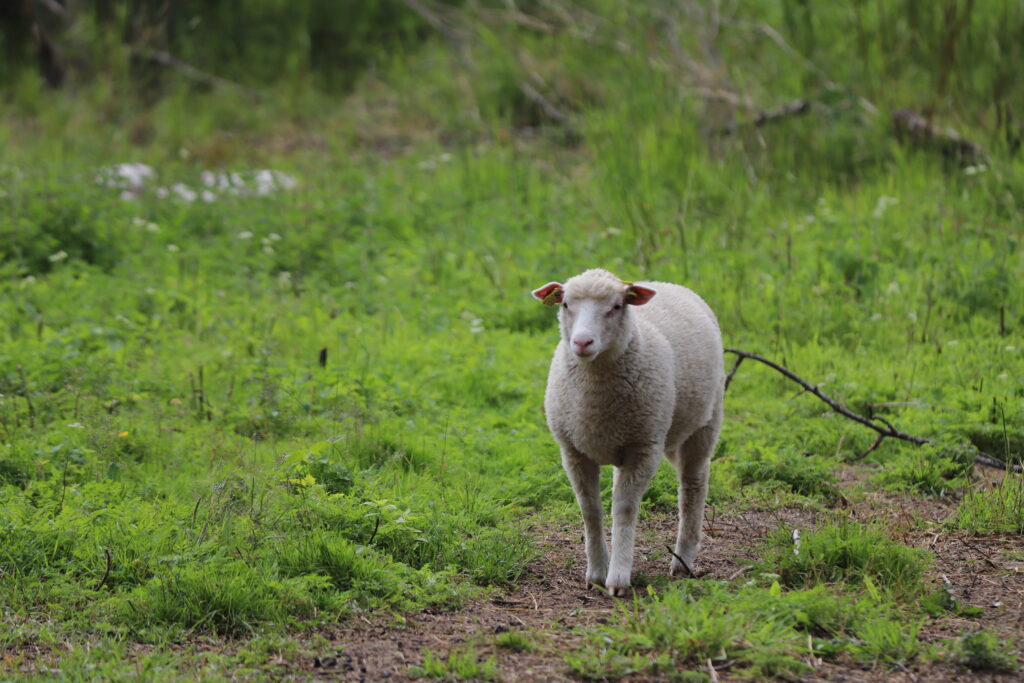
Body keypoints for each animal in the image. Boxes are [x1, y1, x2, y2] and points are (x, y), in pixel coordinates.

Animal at [532, 268, 724, 596]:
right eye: (566, 304)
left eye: (616, 306)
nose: (582, 342)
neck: (594, 389)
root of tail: (664, 282)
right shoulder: (573, 451)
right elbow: (591, 510)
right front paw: (596, 572)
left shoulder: (644, 448)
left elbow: (624, 510)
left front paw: (618, 578)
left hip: (703, 424)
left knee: (693, 487)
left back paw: (683, 559)